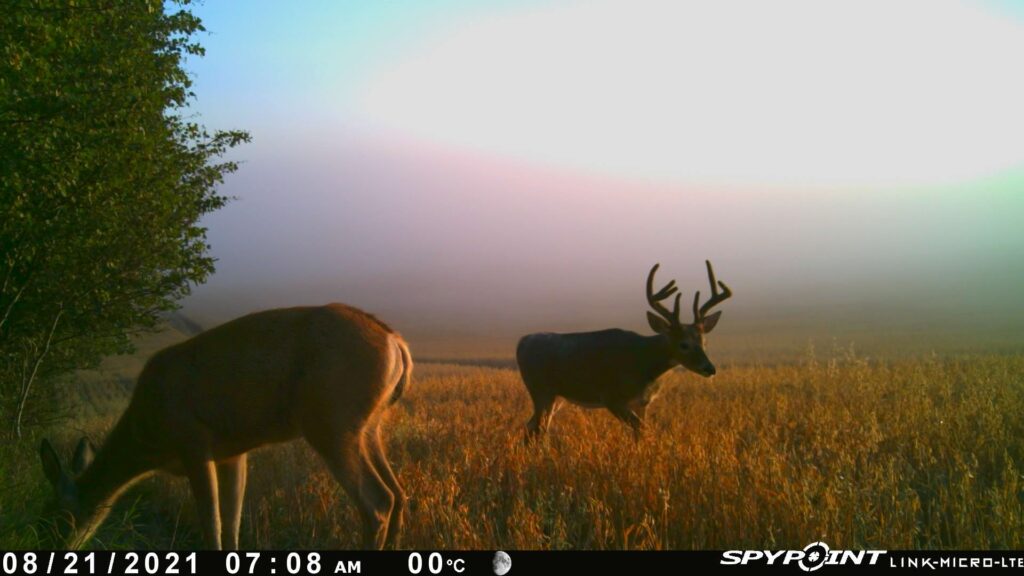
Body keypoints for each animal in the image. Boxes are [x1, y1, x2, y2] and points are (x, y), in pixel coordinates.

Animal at [37, 303, 412, 551]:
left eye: (53, 518)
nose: (45, 547)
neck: (148, 435)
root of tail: (396, 342)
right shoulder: (232, 452)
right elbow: (232, 523)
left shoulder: (193, 440)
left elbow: (212, 526)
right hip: (368, 426)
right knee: (398, 494)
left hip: (331, 421)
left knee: (377, 502)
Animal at [517, 260, 732, 441]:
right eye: (683, 344)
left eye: (704, 342)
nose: (709, 368)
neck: (646, 362)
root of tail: (522, 342)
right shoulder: (612, 397)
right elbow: (641, 429)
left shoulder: (643, 403)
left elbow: (641, 432)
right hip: (540, 389)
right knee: (537, 428)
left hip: (555, 396)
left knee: (532, 426)